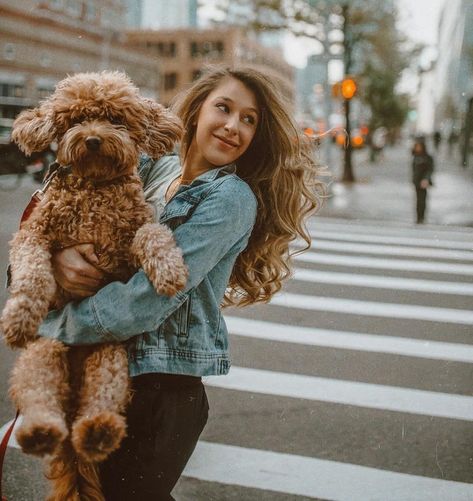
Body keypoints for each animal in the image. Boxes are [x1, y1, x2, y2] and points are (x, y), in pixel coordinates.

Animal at [0, 71, 188, 500]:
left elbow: (153, 234)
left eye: (115, 119)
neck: (96, 187)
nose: (92, 139)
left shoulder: (129, 239)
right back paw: (40, 432)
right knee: (39, 395)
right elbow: (33, 271)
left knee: (102, 398)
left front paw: (169, 269)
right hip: (44, 353)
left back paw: (98, 432)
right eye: (74, 120)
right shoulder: (34, 233)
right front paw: (19, 317)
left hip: (110, 359)